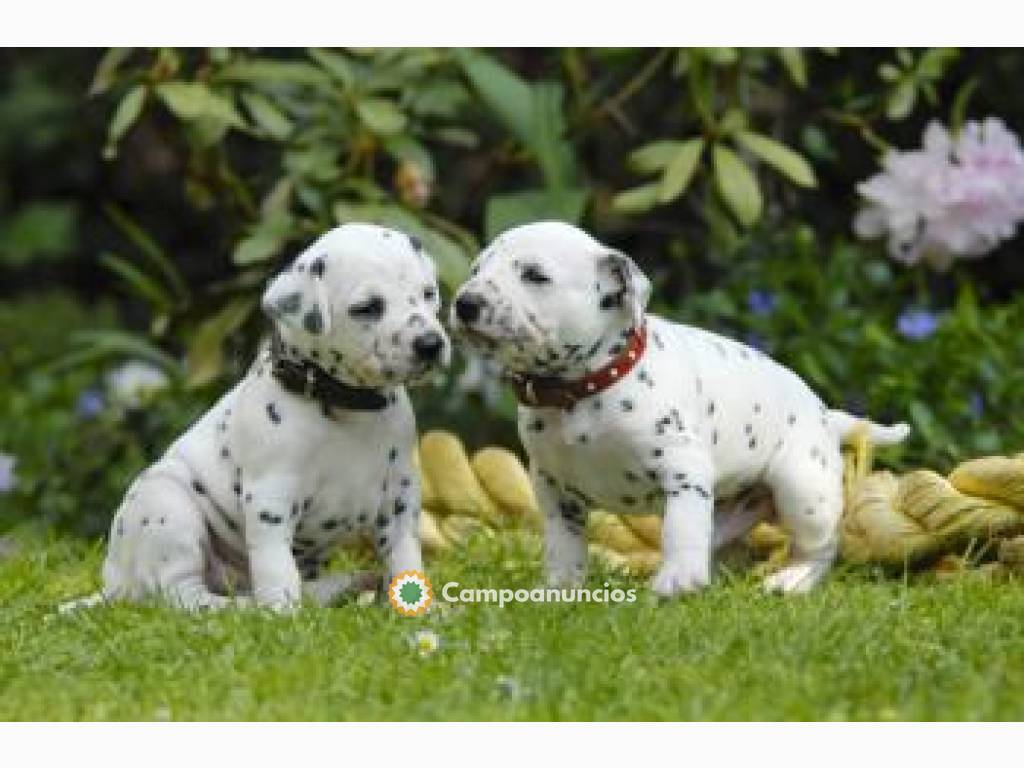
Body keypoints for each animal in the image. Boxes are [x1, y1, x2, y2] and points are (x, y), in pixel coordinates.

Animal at [62, 221, 448, 614]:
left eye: (428, 293)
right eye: (367, 308)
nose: (430, 344)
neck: (343, 407)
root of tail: (115, 583)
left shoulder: (399, 498)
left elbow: (404, 557)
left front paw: (425, 609)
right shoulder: (271, 498)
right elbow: (276, 567)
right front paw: (283, 614)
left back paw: (343, 585)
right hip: (168, 503)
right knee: (182, 594)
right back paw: (246, 607)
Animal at [452, 222, 909, 593]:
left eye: (534, 275)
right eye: (475, 270)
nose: (465, 303)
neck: (579, 391)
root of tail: (826, 416)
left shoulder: (683, 469)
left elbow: (681, 527)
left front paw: (679, 579)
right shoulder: (553, 485)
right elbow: (564, 544)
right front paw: (560, 589)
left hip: (803, 489)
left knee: (820, 547)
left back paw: (793, 580)